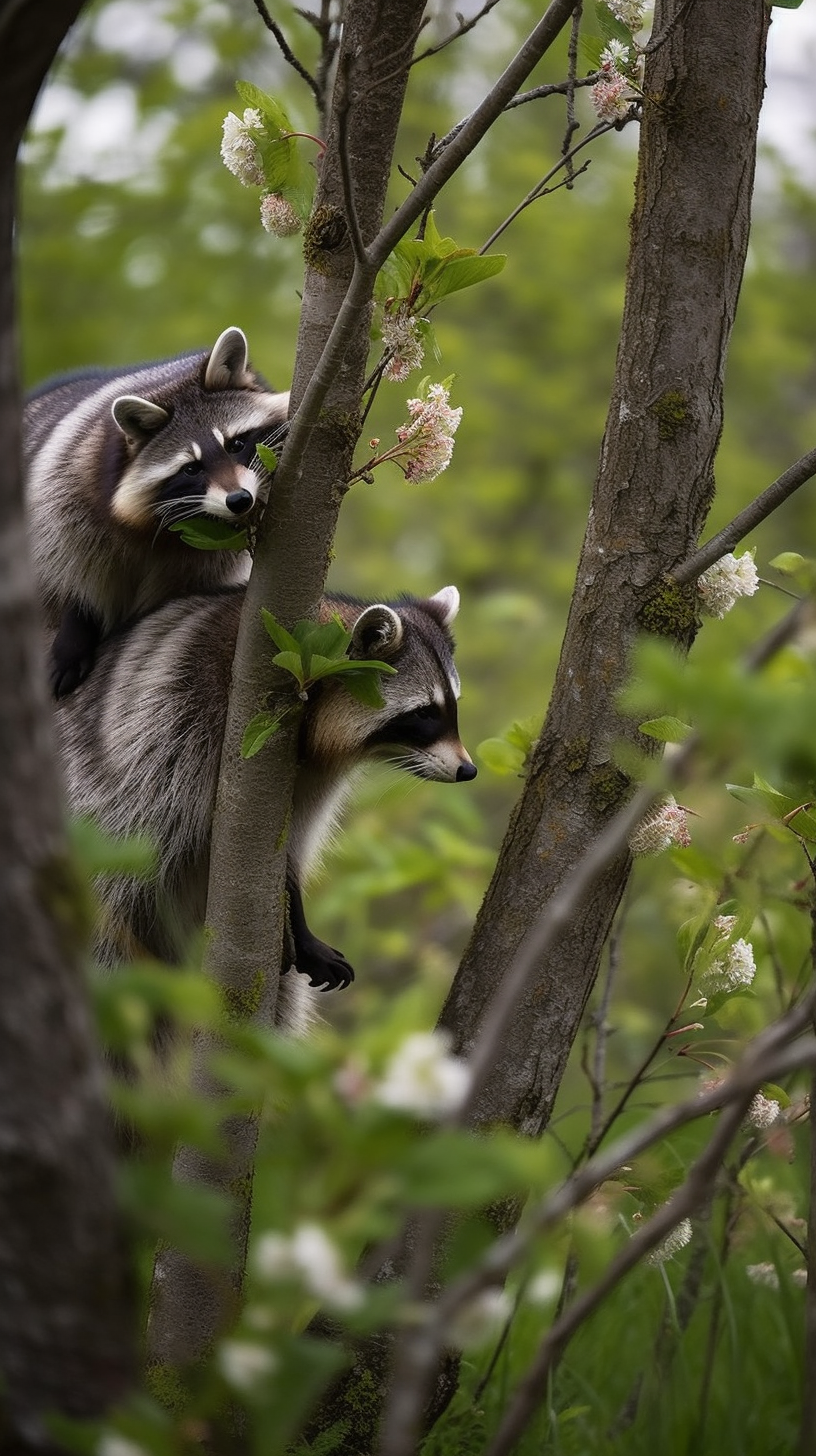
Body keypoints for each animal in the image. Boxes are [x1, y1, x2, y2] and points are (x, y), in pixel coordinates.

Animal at [25, 326, 288, 698]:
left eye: (236, 444)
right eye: (191, 468)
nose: (239, 500)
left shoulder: (212, 558)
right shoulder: (64, 492)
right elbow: (67, 571)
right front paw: (75, 627)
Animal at [54, 579, 475, 1013]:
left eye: (452, 707)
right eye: (424, 713)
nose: (468, 770)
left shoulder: (317, 774)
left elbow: (290, 842)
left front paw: (300, 921)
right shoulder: (192, 716)